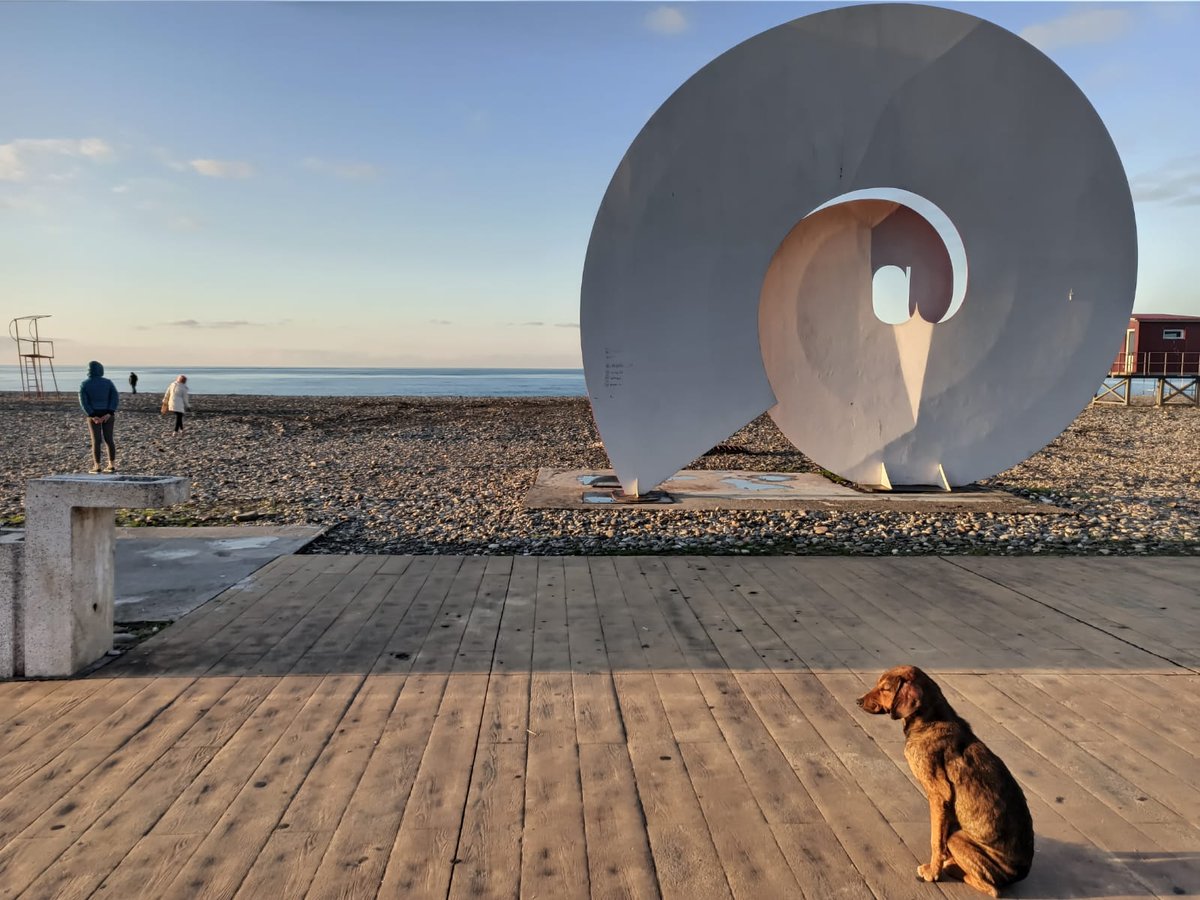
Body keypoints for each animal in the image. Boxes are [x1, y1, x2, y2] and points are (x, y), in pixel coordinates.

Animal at [859, 667, 1036, 897]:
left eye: (885, 689)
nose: (858, 701)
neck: (931, 720)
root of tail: (1021, 873)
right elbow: (940, 837)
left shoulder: (939, 794)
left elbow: (936, 840)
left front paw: (932, 872)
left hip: (958, 839)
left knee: (991, 889)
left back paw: (953, 868)